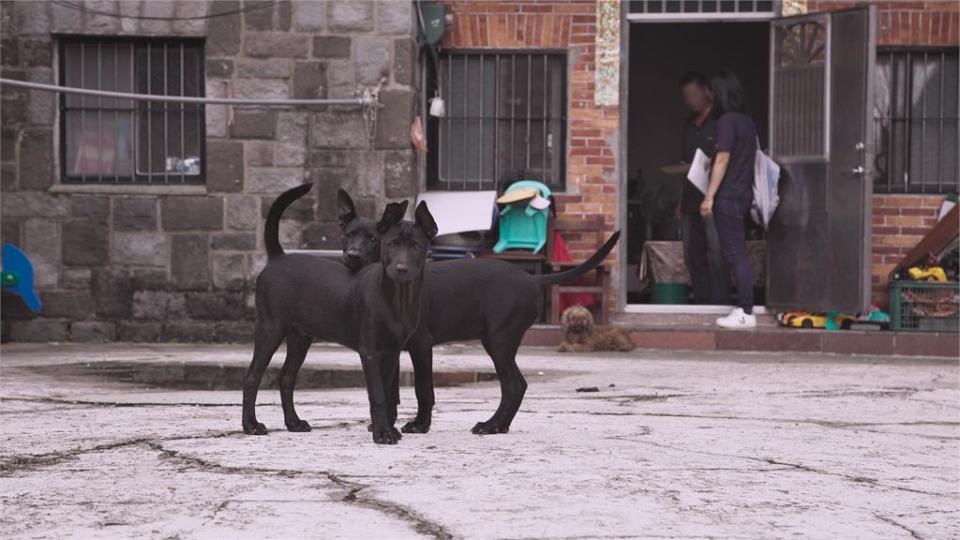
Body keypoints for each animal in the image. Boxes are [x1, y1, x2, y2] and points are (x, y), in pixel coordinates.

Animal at [242, 184, 436, 446]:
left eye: (416, 246)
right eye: (391, 244)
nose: (401, 269)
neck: (396, 298)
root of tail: (278, 257)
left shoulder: (391, 352)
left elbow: (387, 392)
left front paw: (387, 429)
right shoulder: (370, 352)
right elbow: (377, 395)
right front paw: (382, 433)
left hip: (299, 337)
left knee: (286, 377)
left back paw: (294, 422)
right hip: (270, 328)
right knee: (252, 376)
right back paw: (250, 425)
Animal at [266, 186, 620, 434]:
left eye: (372, 238)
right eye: (347, 236)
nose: (350, 256)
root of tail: (532, 278)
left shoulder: (421, 345)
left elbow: (423, 390)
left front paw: (418, 426)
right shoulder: (392, 347)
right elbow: (391, 389)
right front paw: (386, 422)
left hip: (499, 340)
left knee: (514, 384)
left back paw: (491, 425)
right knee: (514, 386)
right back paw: (500, 426)